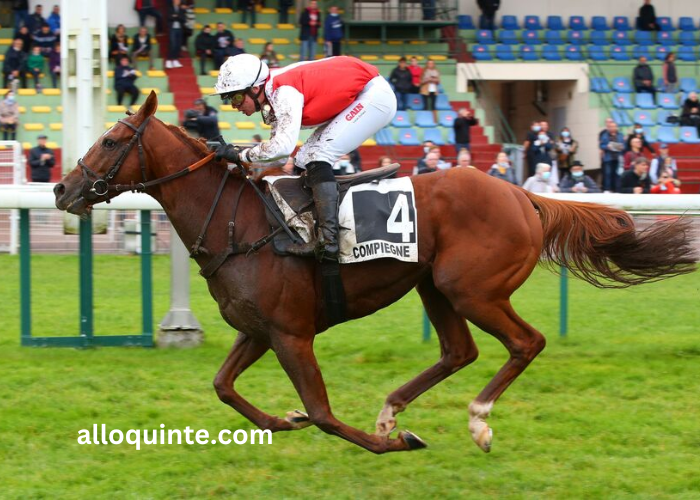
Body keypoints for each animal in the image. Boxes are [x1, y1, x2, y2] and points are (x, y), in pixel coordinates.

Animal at [53, 93, 696, 454]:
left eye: (111, 139)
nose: (62, 188)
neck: (236, 222)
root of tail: (522, 194)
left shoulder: (291, 334)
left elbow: (322, 414)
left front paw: (393, 444)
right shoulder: (259, 330)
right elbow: (225, 388)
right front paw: (283, 420)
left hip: (472, 288)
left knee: (525, 342)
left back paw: (477, 422)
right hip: (434, 286)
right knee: (459, 351)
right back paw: (393, 410)